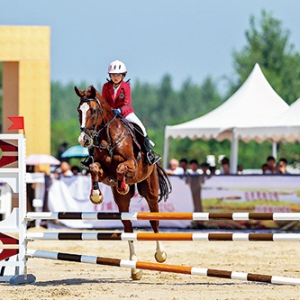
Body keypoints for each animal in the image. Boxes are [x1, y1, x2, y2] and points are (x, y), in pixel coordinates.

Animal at [74, 85, 171, 282]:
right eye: (79, 111)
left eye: (93, 111)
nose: (83, 140)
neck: (108, 137)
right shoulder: (102, 170)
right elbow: (94, 168)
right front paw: (96, 195)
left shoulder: (132, 164)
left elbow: (121, 168)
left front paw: (122, 184)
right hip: (122, 203)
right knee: (128, 227)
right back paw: (135, 268)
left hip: (150, 190)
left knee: (155, 222)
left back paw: (160, 255)